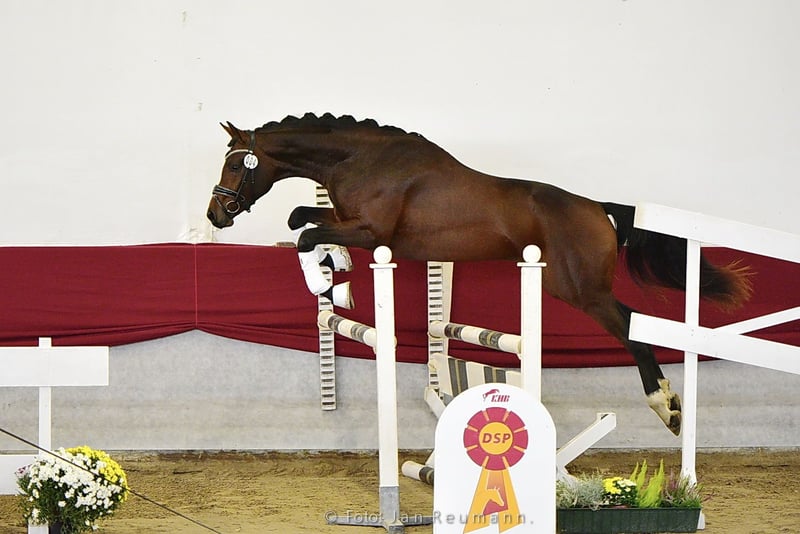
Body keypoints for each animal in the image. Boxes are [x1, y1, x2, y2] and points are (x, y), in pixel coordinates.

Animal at [206, 112, 752, 435]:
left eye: (235, 166)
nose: (216, 214)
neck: (362, 158)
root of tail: (597, 207)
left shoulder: (370, 231)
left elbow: (303, 232)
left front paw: (324, 281)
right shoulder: (347, 223)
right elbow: (302, 220)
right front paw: (335, 275)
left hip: (580, 289)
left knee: (631, 326)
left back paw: (667, 406)